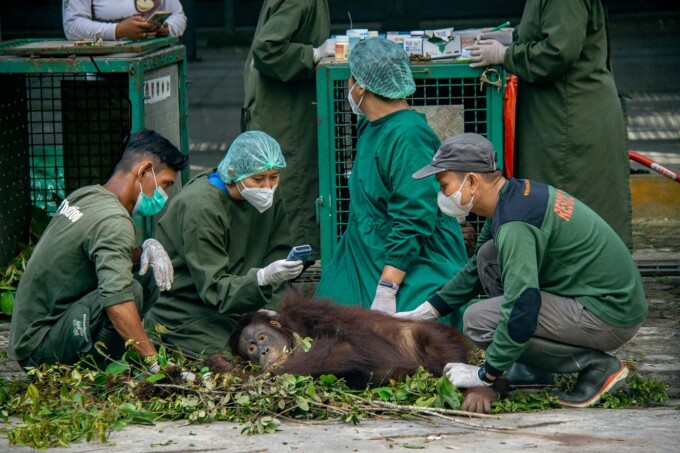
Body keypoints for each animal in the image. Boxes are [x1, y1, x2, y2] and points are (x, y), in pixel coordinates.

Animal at [207, 291, 507, 414]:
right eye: (250, 349)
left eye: (261, 337)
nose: (264, 351)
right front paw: (223, 366)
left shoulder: (306, 310)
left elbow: (345, 346)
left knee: (428, 338)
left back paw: (480, 390)